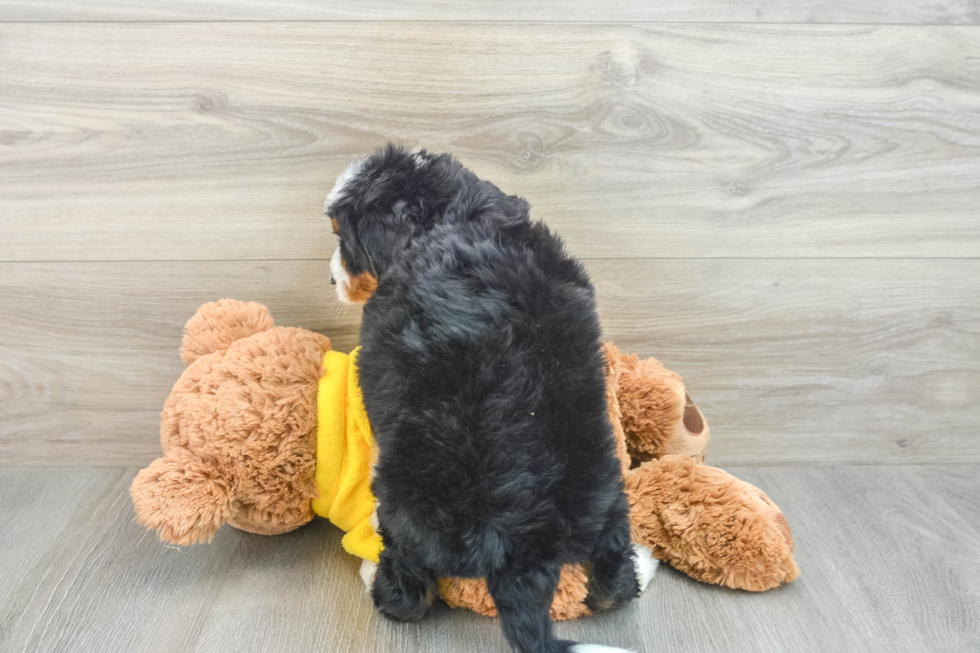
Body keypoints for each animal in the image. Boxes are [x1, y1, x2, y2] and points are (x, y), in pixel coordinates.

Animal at [326, 144, 656, 652]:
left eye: (342, 237)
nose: (331, 280)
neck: (455, 217)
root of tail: (525, 555)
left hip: (404, 503)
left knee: (408, 586)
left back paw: (377, 581)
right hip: (605, 487)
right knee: (613, 571)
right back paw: (636, 565)